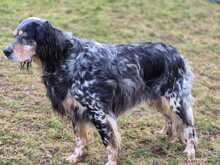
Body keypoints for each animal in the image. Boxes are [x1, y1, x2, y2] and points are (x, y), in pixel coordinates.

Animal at [2, 17, 198, 164]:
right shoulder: (75, 109)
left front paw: (110, 161)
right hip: (157, 99)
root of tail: (177, 53)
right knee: (170, 118)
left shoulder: (99, 112)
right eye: (14, 36)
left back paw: (190, 151)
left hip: (175, 100)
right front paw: (76, 157)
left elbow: (109, 143)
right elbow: (80, 139)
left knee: (189, 125)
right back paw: (166, 134)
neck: (65, 57)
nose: (5, 51)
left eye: (24, 37)